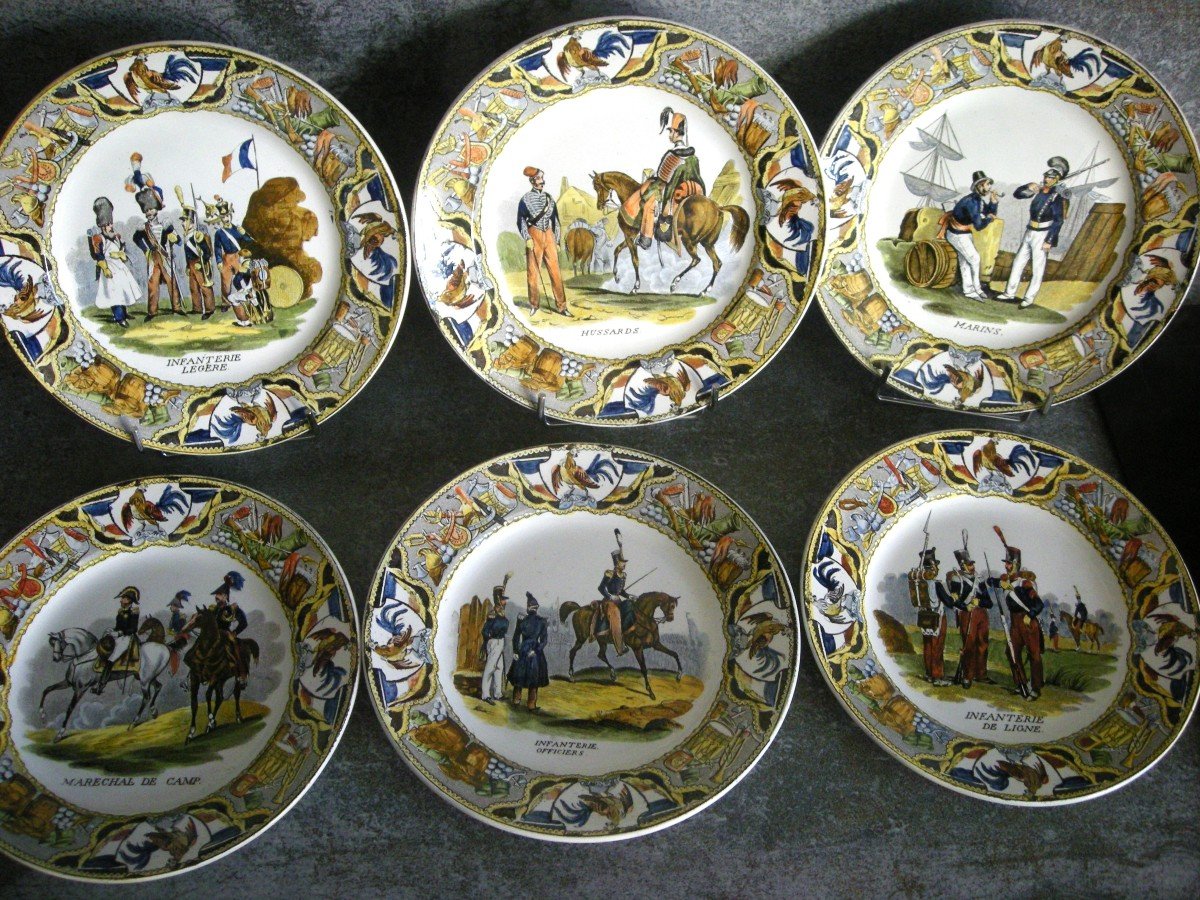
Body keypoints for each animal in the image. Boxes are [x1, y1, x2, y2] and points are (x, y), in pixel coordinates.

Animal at [40, 620, 174, 741]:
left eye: (58, 642)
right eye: (52, 643)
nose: (56, 658)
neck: (83, 658)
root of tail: (163, 648)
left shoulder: (80, 689)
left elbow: (69, 709)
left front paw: (59, 734)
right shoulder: (67, 683)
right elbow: (46, 690)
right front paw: (42, 714)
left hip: (145, 680)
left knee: (146, 697)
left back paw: (133, 723)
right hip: (147, 677)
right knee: (158, 687)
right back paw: (153, 711)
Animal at [182, 605, 260, 742]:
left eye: (199, 617)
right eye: (192, 616)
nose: (184, 629)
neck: (206, 653)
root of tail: (245, 642)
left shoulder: (215, 676)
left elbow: (207, 695)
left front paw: (210, 718)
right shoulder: (195, 677)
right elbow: (194, 704)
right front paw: (191, 733)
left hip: (236, 677)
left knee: (236, 694)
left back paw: (238, 717)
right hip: (222, 680)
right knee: (219, 698)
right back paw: (210, 726)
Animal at [591, 170, 749, 294]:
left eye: (597, 186)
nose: (599, 206)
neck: (633, 196)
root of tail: (718, 207)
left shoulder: (630, 236)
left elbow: (635, 260)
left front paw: (635, 287)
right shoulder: (631, 236)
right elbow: (617, 250)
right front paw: (617, 276)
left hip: (689, 240)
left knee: (697, 259)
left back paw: (675, 283)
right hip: (707, 244)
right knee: (717, 263)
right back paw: (704, 290)